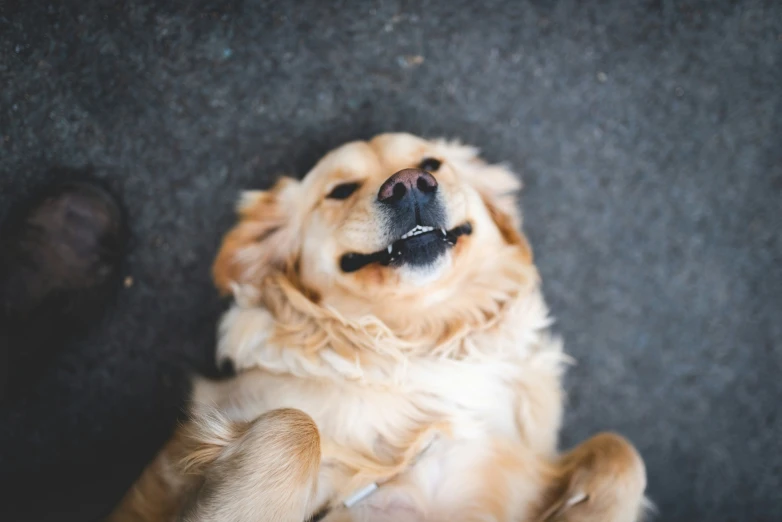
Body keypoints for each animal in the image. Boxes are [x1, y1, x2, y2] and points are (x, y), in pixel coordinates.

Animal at [110, 132, 648, 516]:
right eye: (339, 191)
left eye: (432, 164)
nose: (408, 183)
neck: (422, 343)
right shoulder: (190, 447)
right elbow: (295, 425)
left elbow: (623, 450)